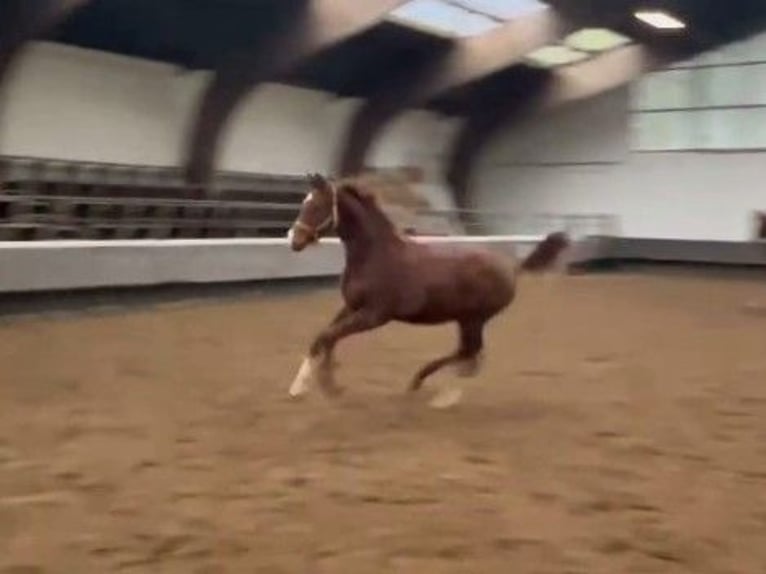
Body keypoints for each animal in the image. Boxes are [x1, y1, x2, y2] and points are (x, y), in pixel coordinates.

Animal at [288, 173, 568, 408]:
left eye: (316, 206)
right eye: (303, 203)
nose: (294, 240)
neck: (375, 256)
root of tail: (511, 267)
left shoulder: (374, 315)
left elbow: (327, 336)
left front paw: (315, 387)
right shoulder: (351, 306)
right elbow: (324, 338)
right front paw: (319, 386)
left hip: (474, 319)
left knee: (469, 353)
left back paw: (437, 394)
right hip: (466, 320)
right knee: (470, 356)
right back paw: (427, 387)